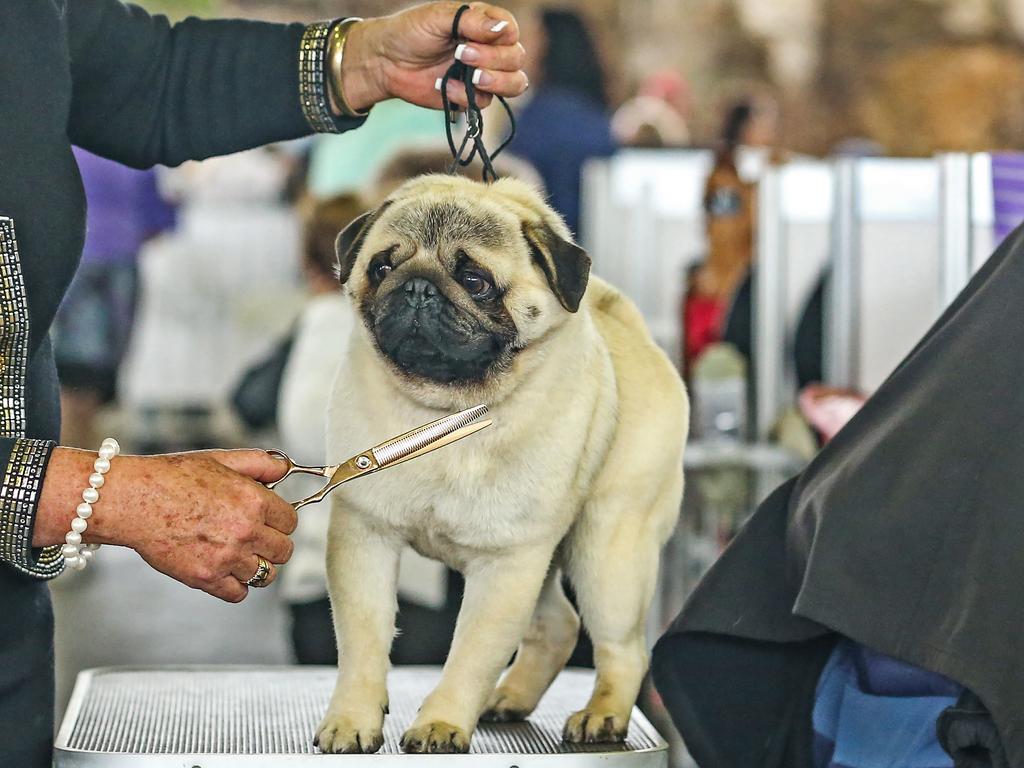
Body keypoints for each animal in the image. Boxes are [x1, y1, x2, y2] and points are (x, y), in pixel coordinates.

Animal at [315, 176, 684, 757]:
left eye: (476, 281)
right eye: (381, 267)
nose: (417, 287)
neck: (447, 412)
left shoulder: (507, 565)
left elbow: (471, 654)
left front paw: (441, 723)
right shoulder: (366, 536)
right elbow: (363, 642)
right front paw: (352, 718)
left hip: (607, 551)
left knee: (622, 648)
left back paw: (602, 715)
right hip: (549, 562)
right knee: (558, 627)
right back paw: (508, 699)